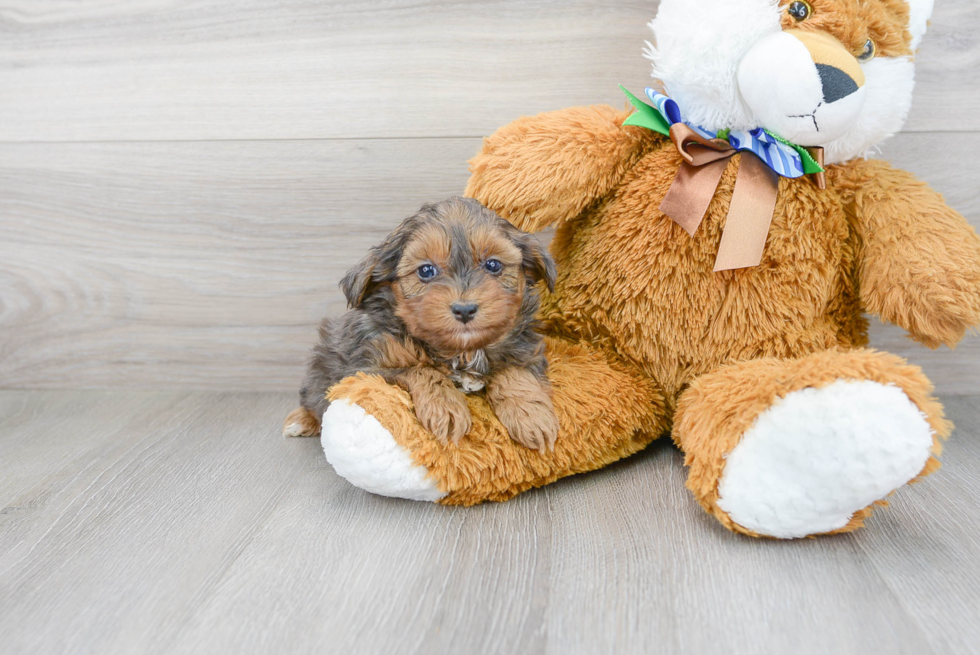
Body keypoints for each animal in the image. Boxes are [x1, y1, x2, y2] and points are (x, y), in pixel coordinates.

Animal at [284, 196, 560, 452]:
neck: (461, 351)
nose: (464, 309)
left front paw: (532, 416)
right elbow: (420, 370)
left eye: (493, 265)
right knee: (313, 396)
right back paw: (301, 420)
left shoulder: (524, 349)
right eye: (426, 271)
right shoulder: (364, 367)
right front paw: (446, 406)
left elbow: (515, 371)